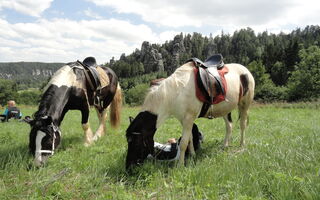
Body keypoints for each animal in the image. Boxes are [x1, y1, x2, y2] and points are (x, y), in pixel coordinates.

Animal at [126, 59, 254, 169]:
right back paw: (225, 146)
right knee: (229, 126)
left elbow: (183, 143)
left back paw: (242, 145)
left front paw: (180, 165)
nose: (128, 167)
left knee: (242, 125)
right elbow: (190, 138)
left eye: (136, 143)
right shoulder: (185, 120)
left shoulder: (188, 119)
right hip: (226, 109)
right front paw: (192, 155)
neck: (176, 92)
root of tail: (246, 71)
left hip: (244, 105)